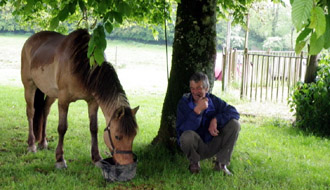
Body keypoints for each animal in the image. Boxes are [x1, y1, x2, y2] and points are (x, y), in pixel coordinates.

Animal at [20, 29, 139, 168]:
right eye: (117, 136)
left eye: (134, 135)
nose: (128, 164)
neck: (83, 65)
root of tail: (31, 39)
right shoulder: (63, 101)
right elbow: (62, 128)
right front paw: (60, 159)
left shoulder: (93, 102)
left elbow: (94, 128)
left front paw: (96, 157)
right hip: (29, 86)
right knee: (30, 113)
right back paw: (31, 145)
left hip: (51, 93)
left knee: (45, 111)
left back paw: (43, 143)